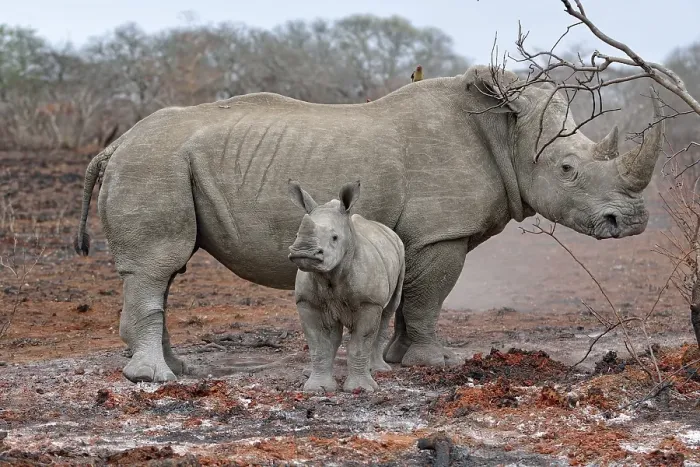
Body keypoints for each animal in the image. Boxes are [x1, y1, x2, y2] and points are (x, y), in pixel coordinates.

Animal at [288, 180, 405, 393]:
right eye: (297, 234)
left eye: (334, 238)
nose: (304, 252)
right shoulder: (307, 302)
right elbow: (319, 345)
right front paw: (317, 388)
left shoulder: (369, 302)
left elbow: (360, 344)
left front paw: (361, 389)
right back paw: (308, 373)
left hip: (400, 250)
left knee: (388, 311)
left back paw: (378, 370)